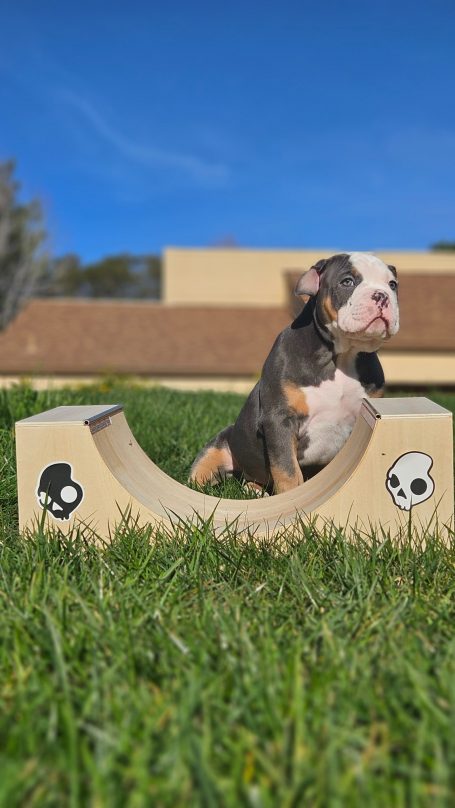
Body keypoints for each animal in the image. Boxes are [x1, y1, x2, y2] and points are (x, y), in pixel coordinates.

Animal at [191, 252, 400, 492]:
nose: (382, 296)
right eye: (347, 281)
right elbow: (287, 470)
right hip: (217, 448)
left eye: (392, 285)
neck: (341, 356)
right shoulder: (279, 419)